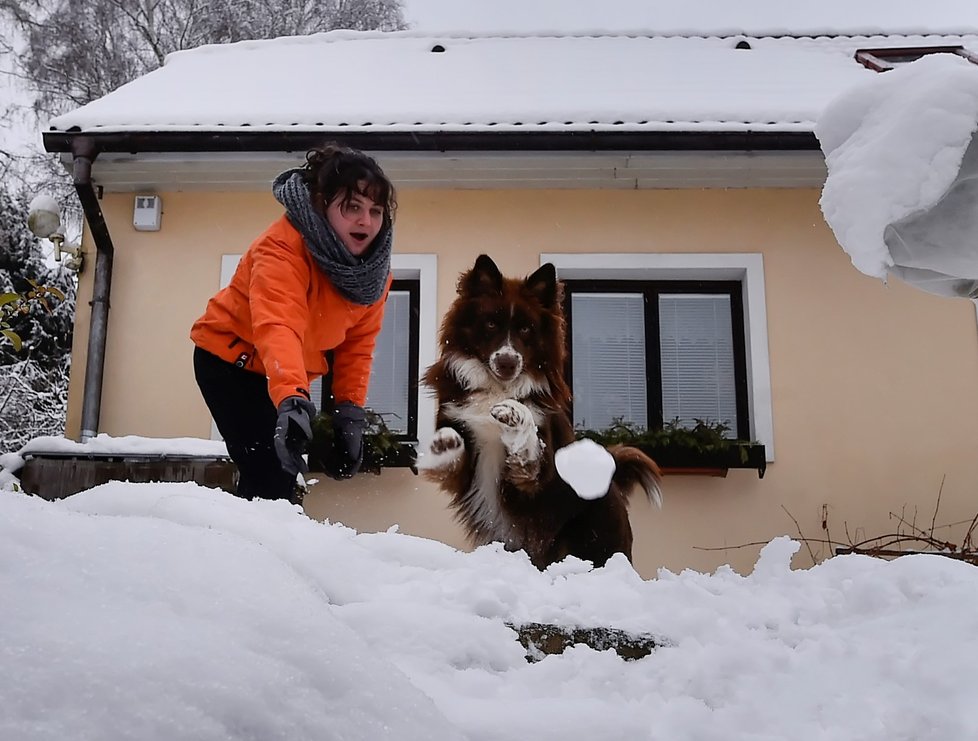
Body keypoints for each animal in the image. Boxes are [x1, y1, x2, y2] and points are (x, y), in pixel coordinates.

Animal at [420, 251, 664, 568]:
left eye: (526, 328)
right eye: (490, 324)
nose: (507, 363)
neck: (498, 388)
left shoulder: (537, 476)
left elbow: (531, 447)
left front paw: (514, 412)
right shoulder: (462, 463)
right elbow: (452, 459)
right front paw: (444, 445)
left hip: (598, 541)